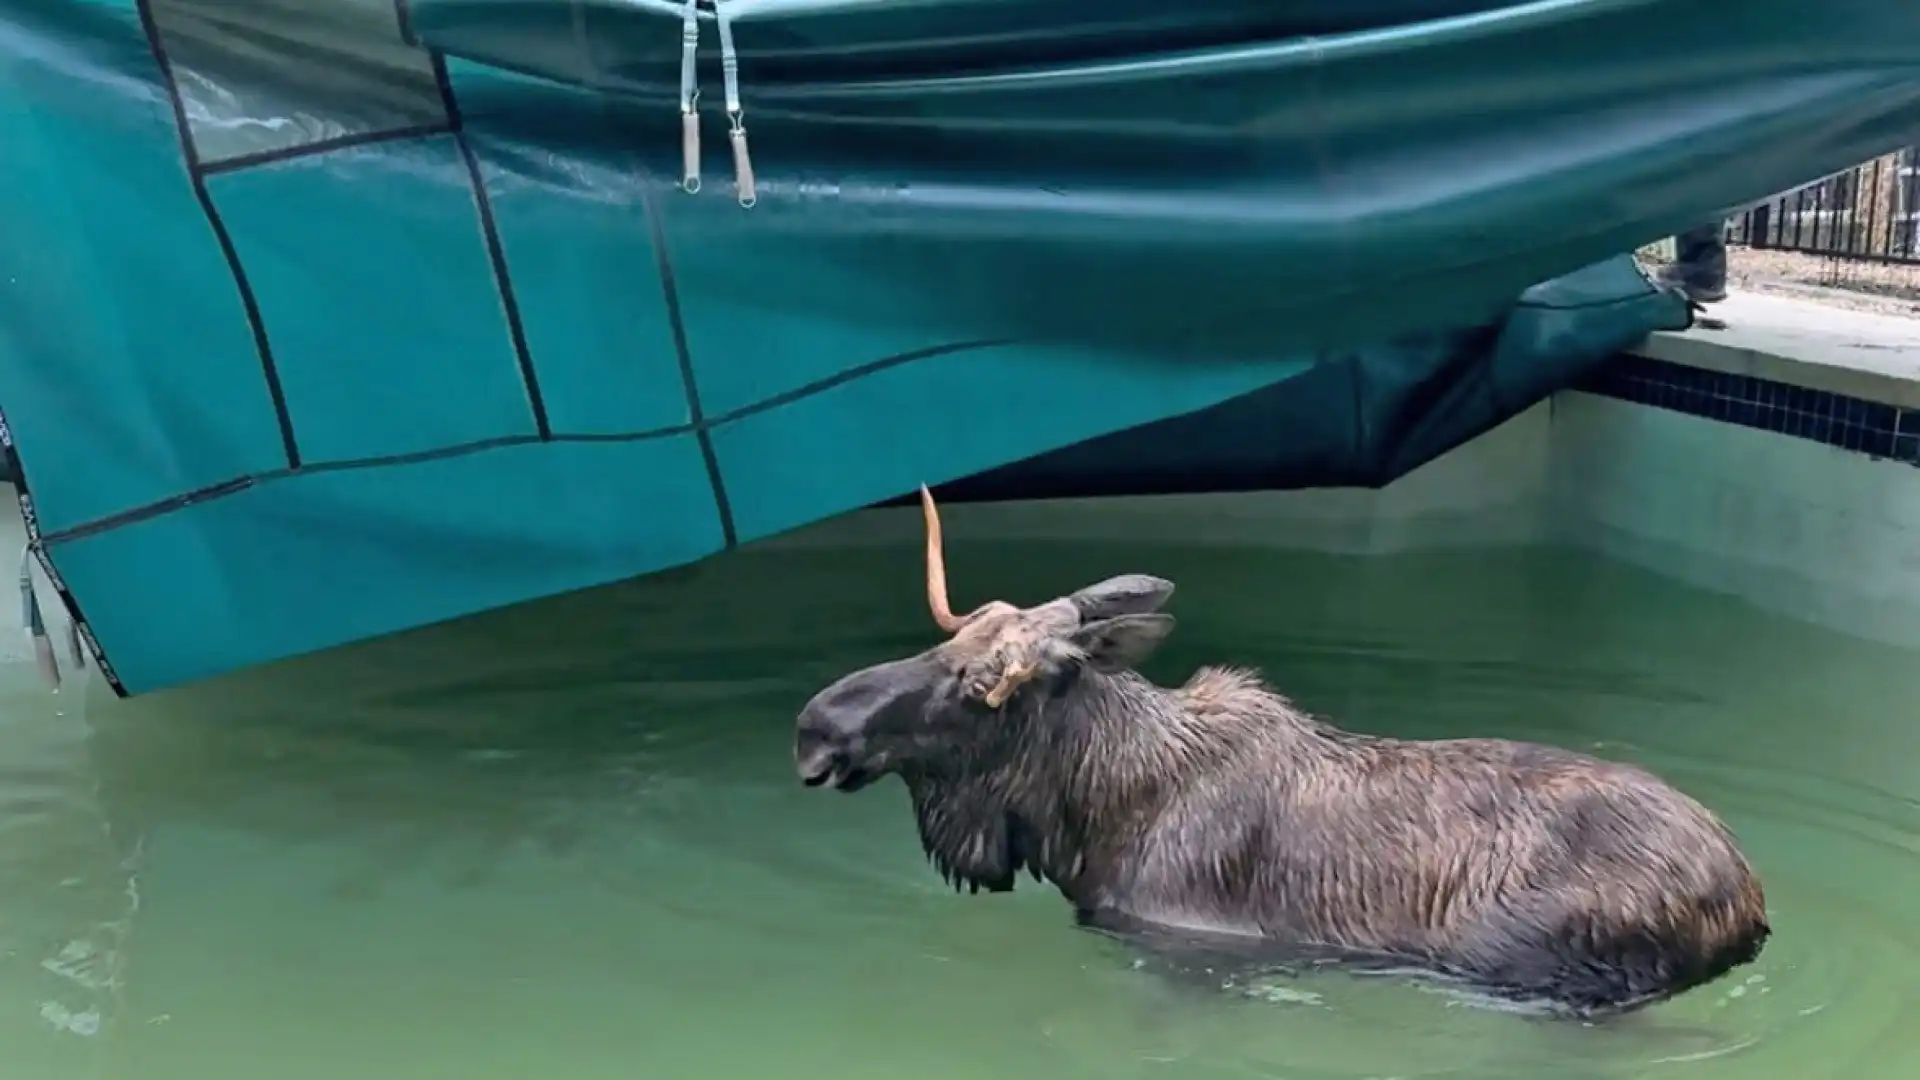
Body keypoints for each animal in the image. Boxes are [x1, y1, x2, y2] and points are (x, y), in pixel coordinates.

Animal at [794, 486, 1766, 1006]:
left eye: (977, 686)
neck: (1090, 813)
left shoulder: (1186, 951)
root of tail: (1750, 902)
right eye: (950, 644)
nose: (816, 725)